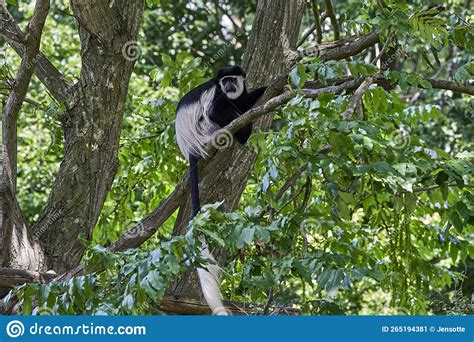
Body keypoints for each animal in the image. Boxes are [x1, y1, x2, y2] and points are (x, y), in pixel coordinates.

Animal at [176, 66, 266, 316]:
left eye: (232, 79)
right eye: (224, 81)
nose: (229, 86)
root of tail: (189, 146)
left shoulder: (240, 93)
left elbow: (247, 98)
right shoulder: (216, 95)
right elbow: (217, 111)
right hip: (206, 130)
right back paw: (243, 132)